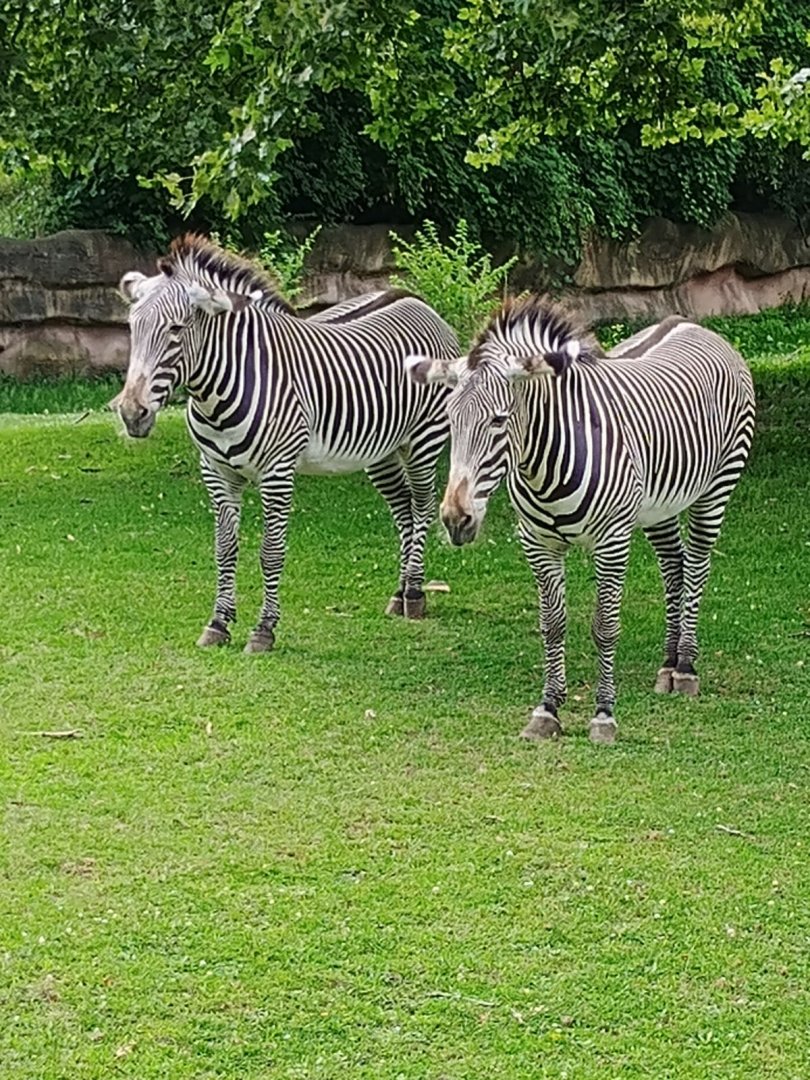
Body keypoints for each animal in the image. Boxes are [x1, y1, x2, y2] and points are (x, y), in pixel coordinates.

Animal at [114, 235, 457, 651]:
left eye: (177, 329)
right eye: (133, 328)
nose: (132, 414)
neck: (218, 392)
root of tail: (414, 298)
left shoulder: (277, 472)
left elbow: (271, 551)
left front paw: (264, 629)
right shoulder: (215, 471)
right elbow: (224, 549)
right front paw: (218, 623)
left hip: (425, 438)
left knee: (422, 506)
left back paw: (415, 594)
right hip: (381, 451)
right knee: (404, 509)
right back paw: (399, 592)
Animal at [408, 298, 755, 745]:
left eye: (499, 420)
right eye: (450, 420)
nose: (455, 518)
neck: (544, 464)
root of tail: (694, 326)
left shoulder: (612, 541)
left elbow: (605, 626)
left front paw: (604, 715)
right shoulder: (538, 543)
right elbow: (553, 624)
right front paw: (548, 709)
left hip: (719, 484)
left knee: (696, 566)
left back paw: (686, 667)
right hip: (659, 504)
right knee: (673, 566)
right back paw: (667, 663)